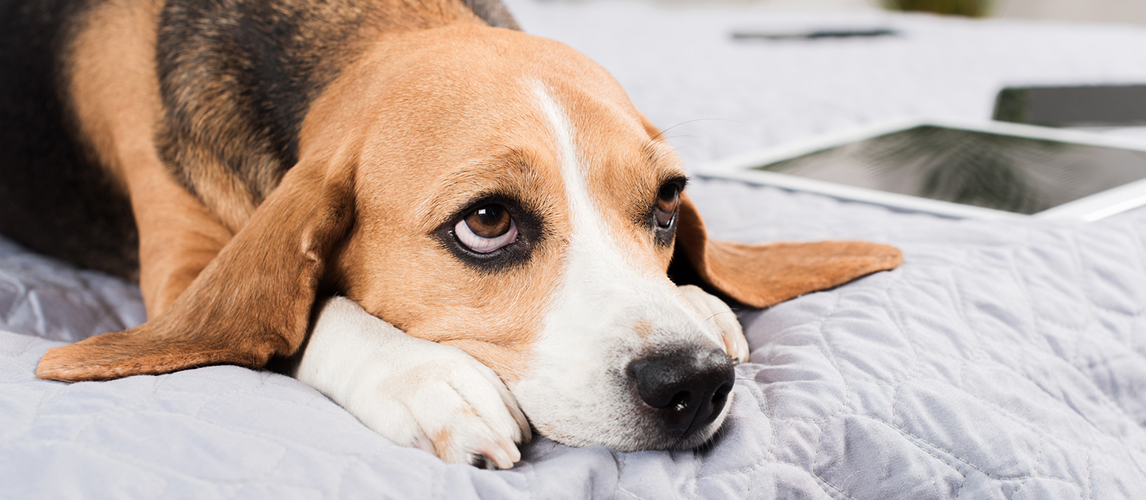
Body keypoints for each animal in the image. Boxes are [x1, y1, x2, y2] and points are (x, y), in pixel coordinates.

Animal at [6, 0, 903, 467]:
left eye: (668, 202)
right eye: (488, 221)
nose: (696, 382)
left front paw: (704, 299)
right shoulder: (183, 277)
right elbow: (289, 313)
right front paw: (425, 379)